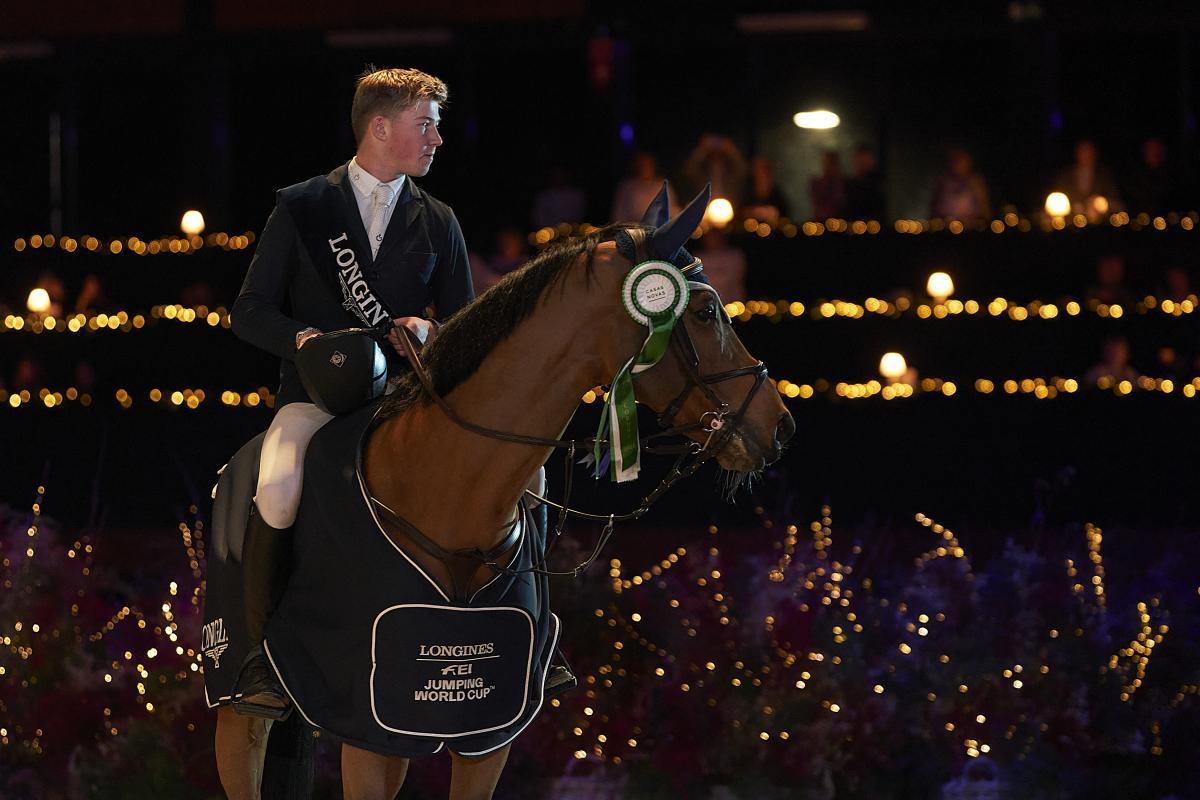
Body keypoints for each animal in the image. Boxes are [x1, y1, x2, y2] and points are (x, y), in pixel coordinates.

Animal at [209, 186, 794, 799]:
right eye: (705, 312)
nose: (780, 427)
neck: (446, 492)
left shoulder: (485, 731)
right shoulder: (367, 723)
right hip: (238, 710)